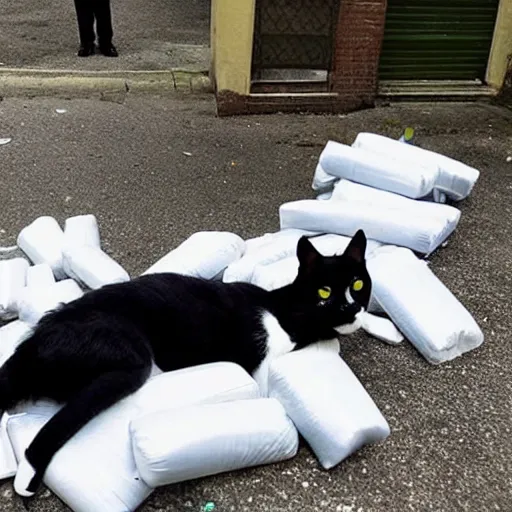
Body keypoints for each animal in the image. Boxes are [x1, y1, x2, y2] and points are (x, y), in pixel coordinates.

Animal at [2, 230, 372, 498]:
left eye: (357, 284)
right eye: (324, 292)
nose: (350, 309)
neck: (286, 311)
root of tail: (33, 343)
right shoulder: (264, 373)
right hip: (129, 358)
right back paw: (27, 477)